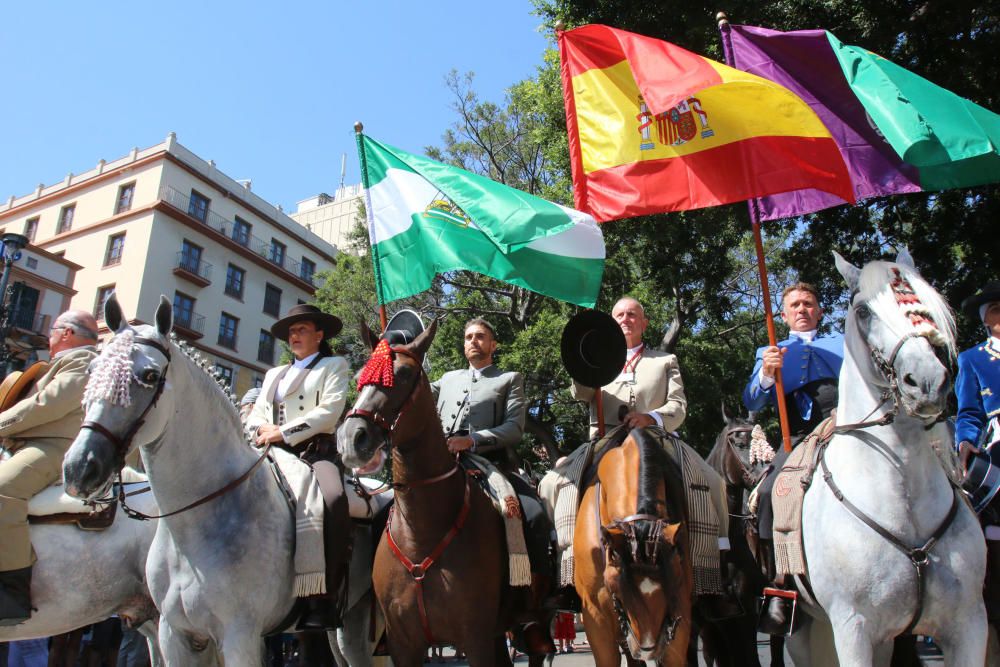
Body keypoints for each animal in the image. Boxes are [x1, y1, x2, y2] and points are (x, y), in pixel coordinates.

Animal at [338, 320, 556, 667]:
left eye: (403, 374)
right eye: (360, 376)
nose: (351, 438)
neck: (421, 531)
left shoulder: (475, 638)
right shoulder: (403, 644)